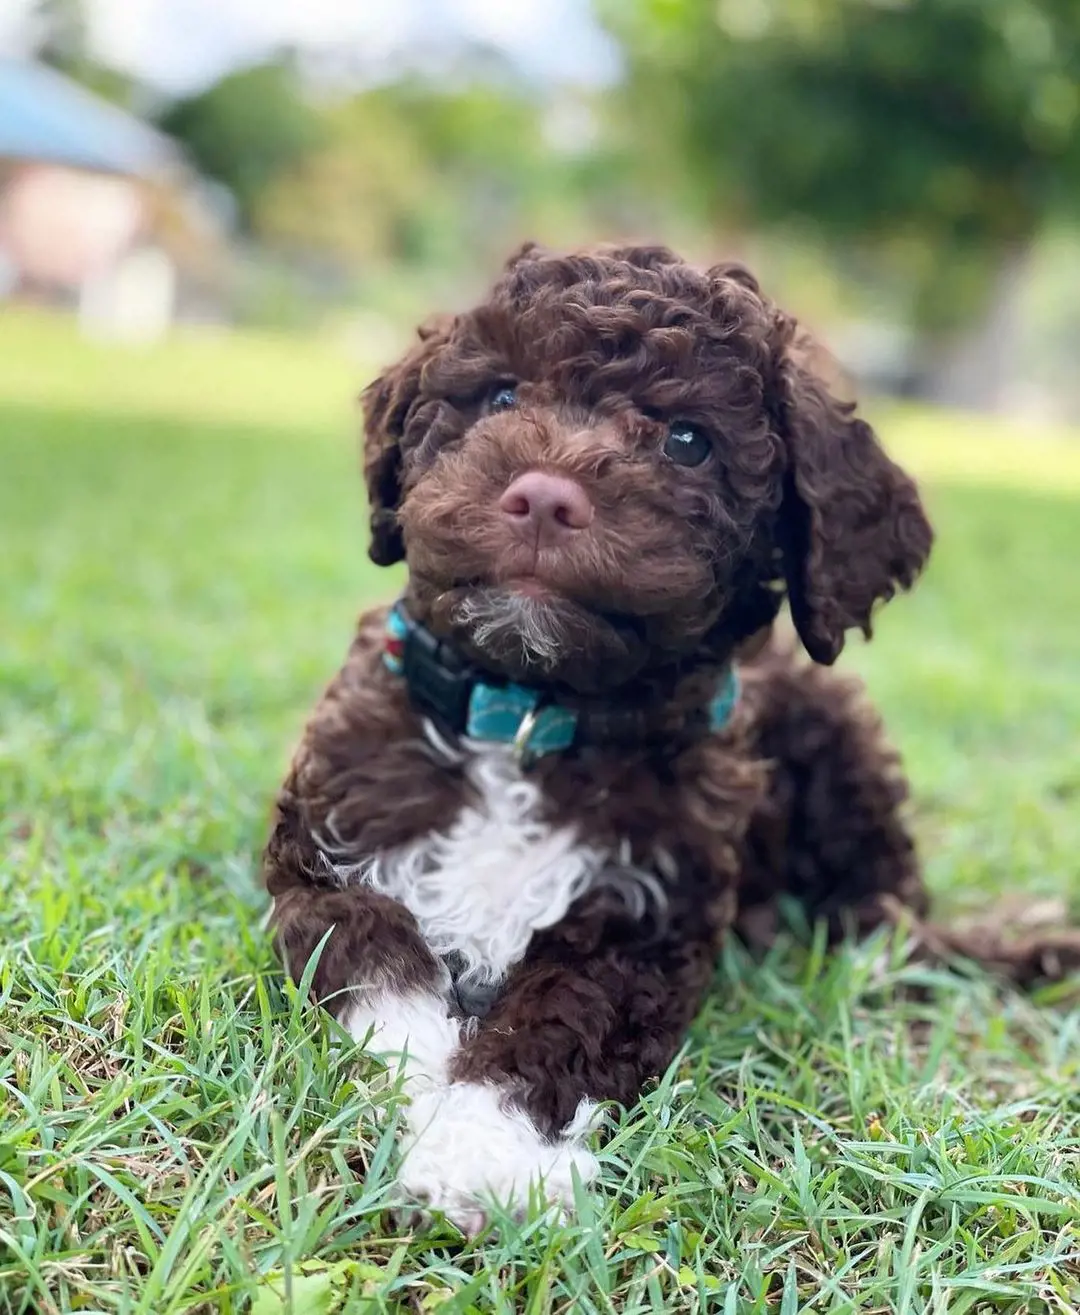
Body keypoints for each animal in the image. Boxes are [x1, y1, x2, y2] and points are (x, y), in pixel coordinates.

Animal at [263, 244, 1078, 1230]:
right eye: (500, 396)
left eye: (689, 440)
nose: (543, 495)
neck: (532, 711)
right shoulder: (321, 845)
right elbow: (371, 958)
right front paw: (424, 1084)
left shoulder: (651, 920)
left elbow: (566, 1016)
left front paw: (486, 1148)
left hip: (839, 739)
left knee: (884, 917)